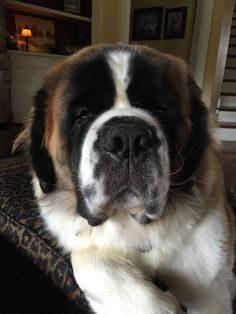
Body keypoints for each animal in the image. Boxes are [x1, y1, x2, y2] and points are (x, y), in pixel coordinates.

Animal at [16, 44, 234, 314]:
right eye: (82, 114)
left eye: (160, 109)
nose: (128, 139)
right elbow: (86, 258)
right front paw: (157, 305)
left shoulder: (213, 280)